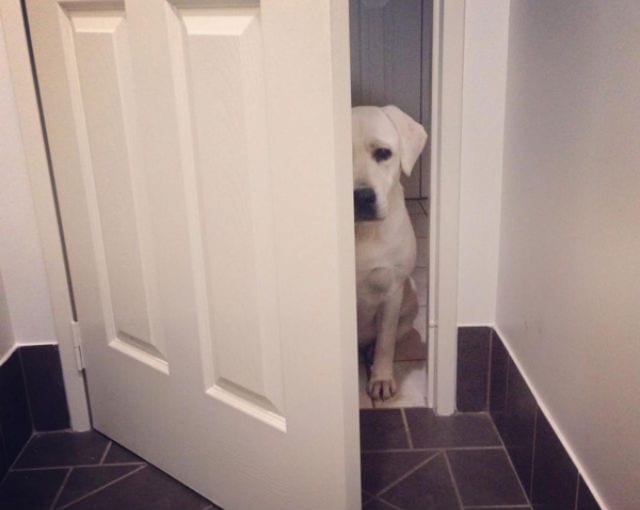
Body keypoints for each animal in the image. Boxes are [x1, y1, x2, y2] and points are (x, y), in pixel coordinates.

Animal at [352, 105, 428, 400]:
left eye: (383, 153)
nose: (361, 197)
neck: (361, 232)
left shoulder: (392, 290)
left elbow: (385, 341)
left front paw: (381, 379)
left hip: (412, 296)